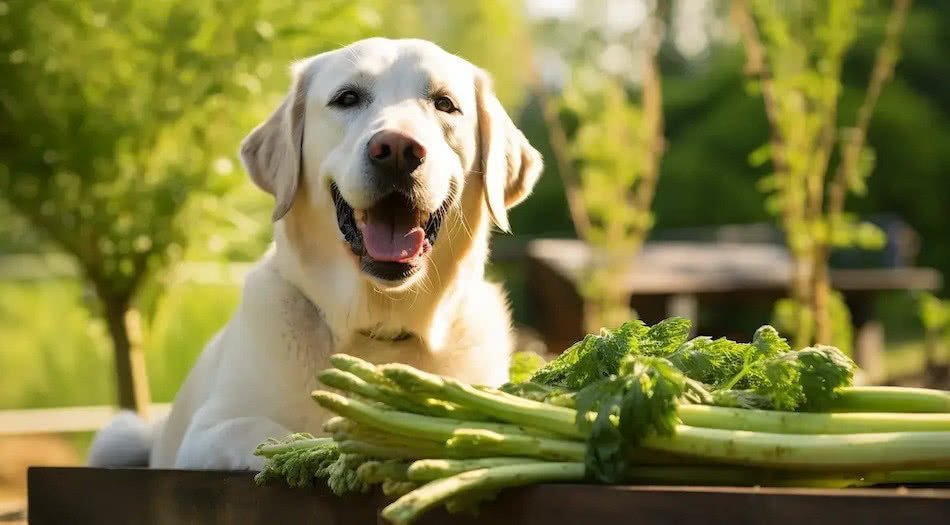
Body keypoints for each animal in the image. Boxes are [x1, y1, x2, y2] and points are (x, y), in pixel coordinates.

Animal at [89, 36, 548, 468]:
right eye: (347, 98)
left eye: (445, 104)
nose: (398, 150)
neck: (376, 327)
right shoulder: (207, 432)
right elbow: (266, 432)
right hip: (119, 432)